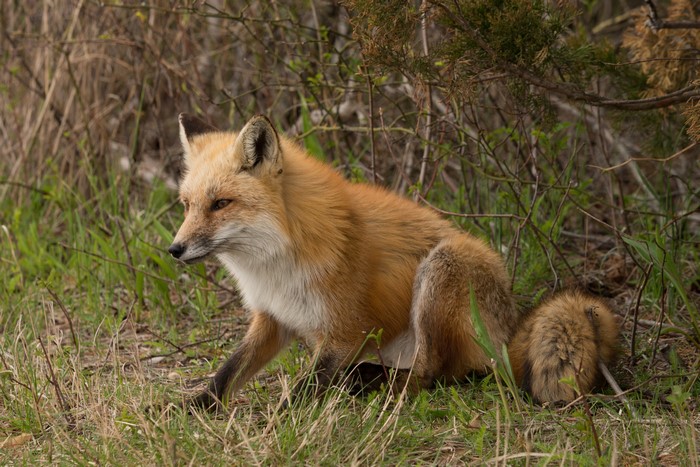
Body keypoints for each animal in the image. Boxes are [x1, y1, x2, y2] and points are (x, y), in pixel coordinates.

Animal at [168, 113, 619, 409]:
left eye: (220, 204)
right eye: (187, 205)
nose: (175, 249)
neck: (275, 262)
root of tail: (510, 329)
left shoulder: (345, 332)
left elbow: (301, 390)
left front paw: (278, 423)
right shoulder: (273, 318)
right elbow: (227, 373)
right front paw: (190, 407)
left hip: (440, 269)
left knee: (431, 376)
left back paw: (378, 392)